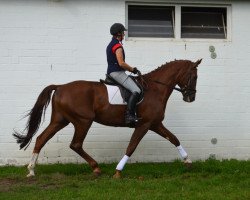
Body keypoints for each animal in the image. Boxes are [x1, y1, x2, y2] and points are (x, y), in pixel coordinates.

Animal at [13, 58, 201, 177]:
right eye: (194, 76)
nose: (191, 98)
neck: (155, 89)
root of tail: (60, 87)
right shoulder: (144, 124)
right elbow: (131, 147)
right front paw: (118, 171)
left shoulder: (155, 124)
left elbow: (174, 139)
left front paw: (188, 161)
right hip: (83, 121)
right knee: (75, 144)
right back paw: (96, 168)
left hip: (60, 120)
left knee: (41, 138)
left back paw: (31, 170)